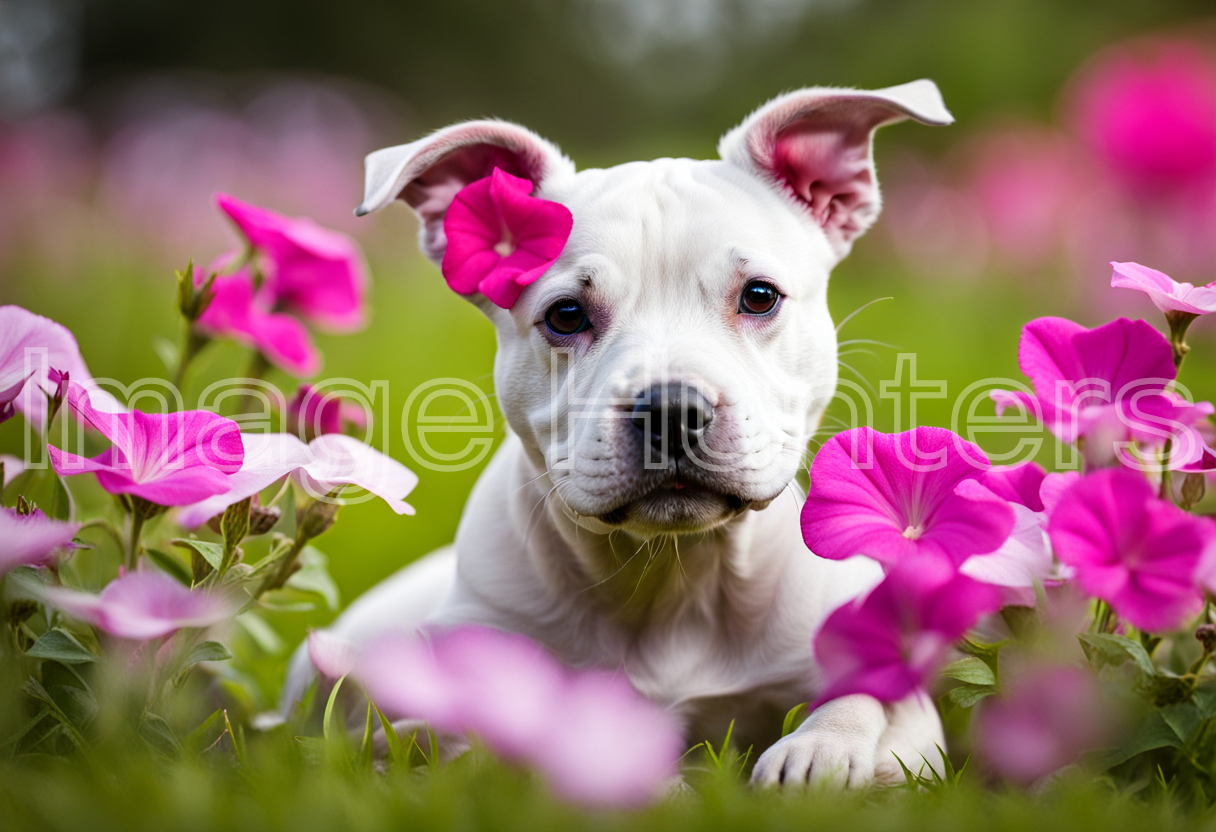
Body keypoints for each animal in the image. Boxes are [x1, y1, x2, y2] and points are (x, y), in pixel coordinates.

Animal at [289, 81, 953, 788]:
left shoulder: (901, 712)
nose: (671, 410)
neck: (675, 575)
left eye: (759, 296)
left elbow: (874, 710)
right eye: (566, 315)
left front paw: (819, 752)